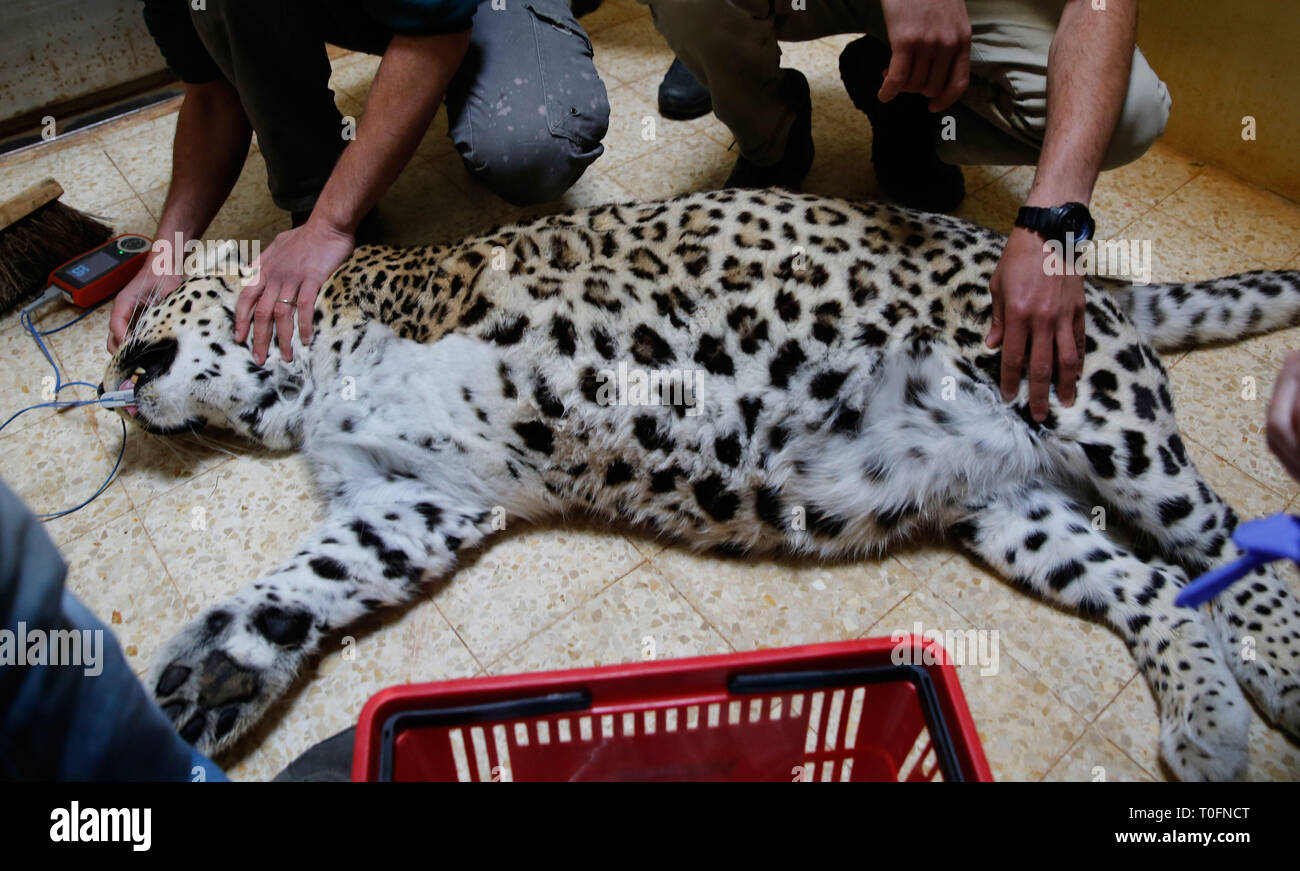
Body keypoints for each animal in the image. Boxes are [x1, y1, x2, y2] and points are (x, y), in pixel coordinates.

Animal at [103, 187, 1300, 780]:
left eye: (149, 315)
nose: (111, 381)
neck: (307, 381)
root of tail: (1092, 287)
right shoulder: (413, 494)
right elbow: (310, 580)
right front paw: (213, 676)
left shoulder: (447, 338)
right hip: (1011, 508)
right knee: (1153, 587)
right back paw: (1208, 728)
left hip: (1101, 415)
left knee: (1224, 535)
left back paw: (1273, 675)